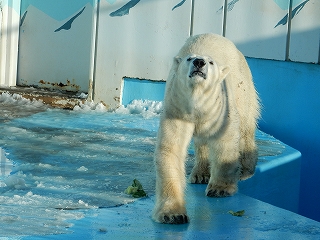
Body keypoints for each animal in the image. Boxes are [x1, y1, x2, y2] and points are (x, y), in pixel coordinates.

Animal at [152, 32, 260, 224]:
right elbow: (171, 149)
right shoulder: (177, 109)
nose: (199, 62)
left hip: (241, 84)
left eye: (210, 62)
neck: (196, 102)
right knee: (201, 141)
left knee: (246, 125)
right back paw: (200, 173)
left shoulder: (220, 110)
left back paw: (246, 168)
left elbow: (225, 142)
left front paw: (220, 189)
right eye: (189, 58)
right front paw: (172, 214)